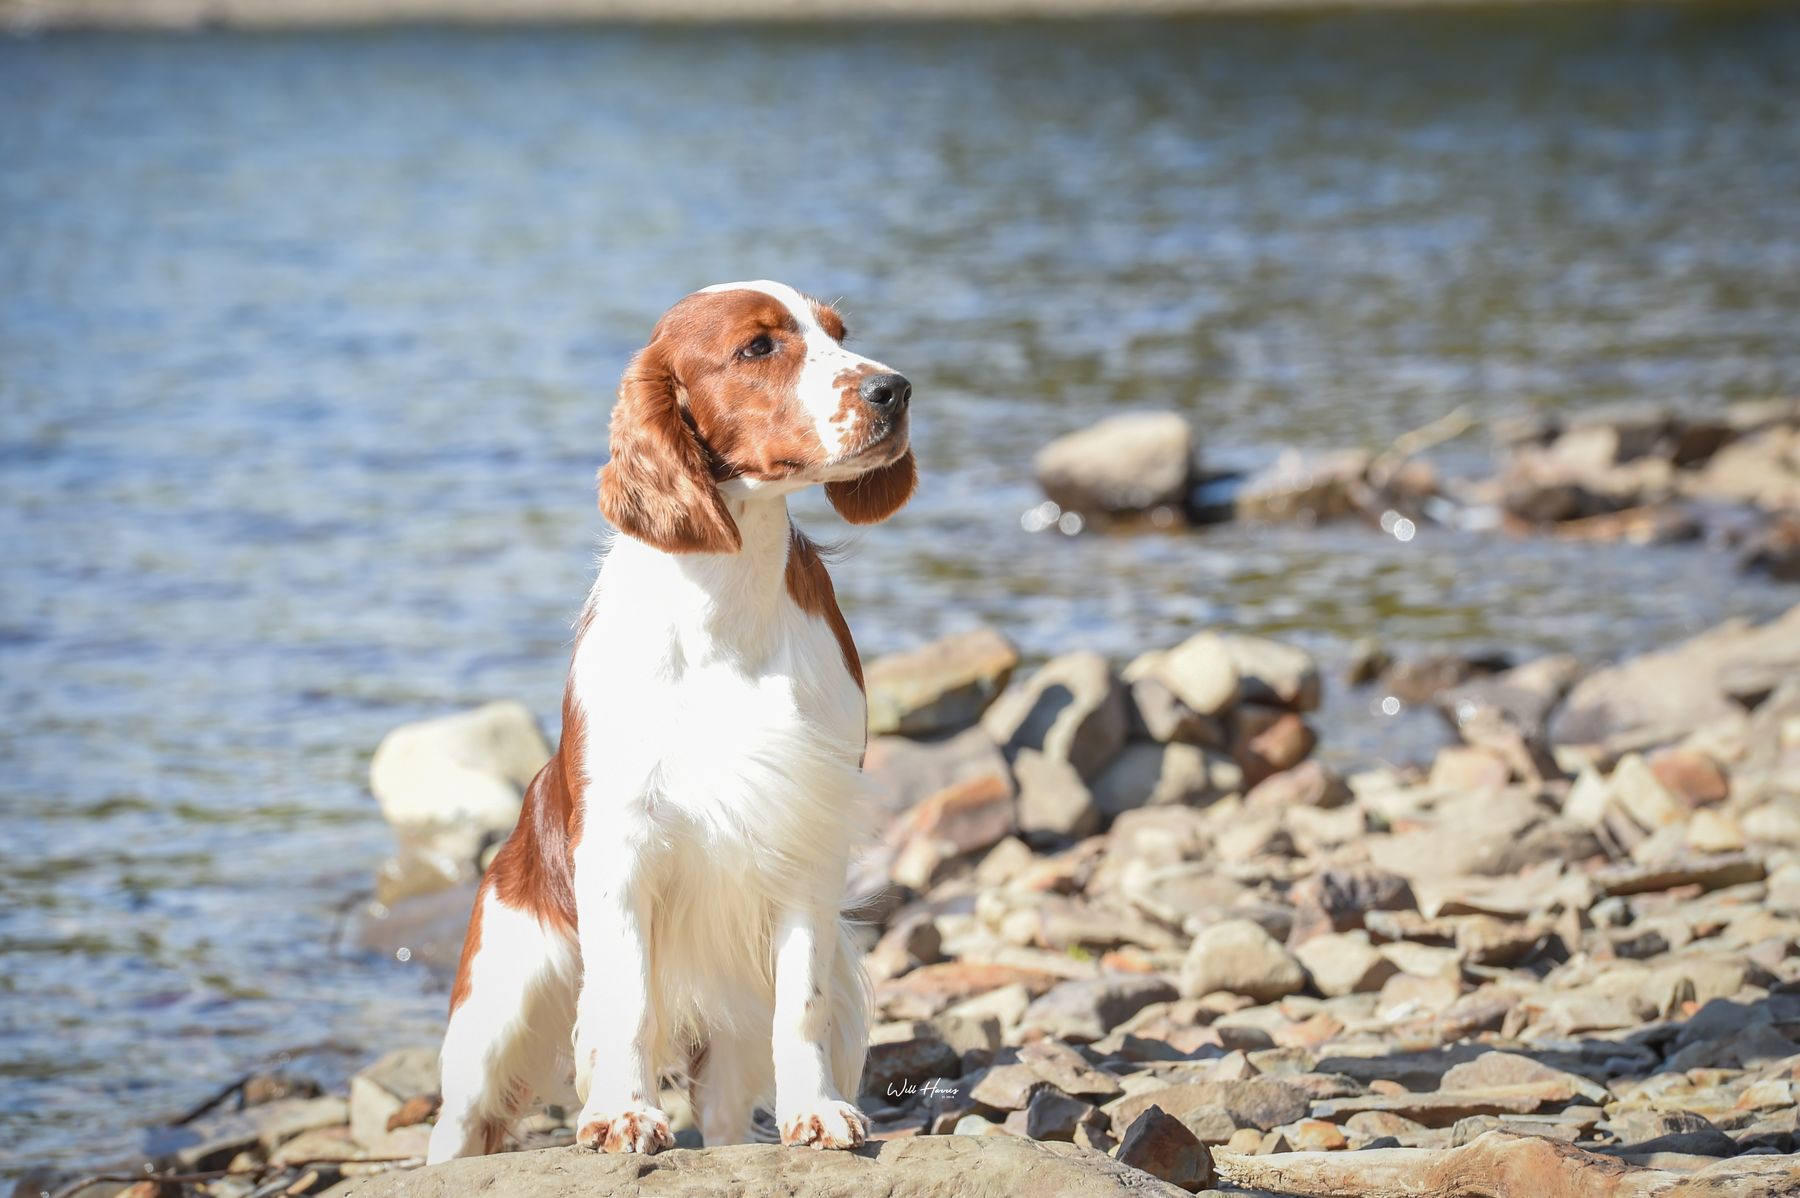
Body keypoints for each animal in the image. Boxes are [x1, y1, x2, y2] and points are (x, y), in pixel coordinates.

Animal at [425, 281, 915, 1163]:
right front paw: (623, 1114)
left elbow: (803, 1001)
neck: (725, 602)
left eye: (838, 332)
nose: (894, 389)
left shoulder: (805, 838)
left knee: (722, 1114)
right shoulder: (623, 842)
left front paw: (817, 1110)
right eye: (758, 347)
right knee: (461, 1120)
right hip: (496, 1007)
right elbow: (626, 1002)